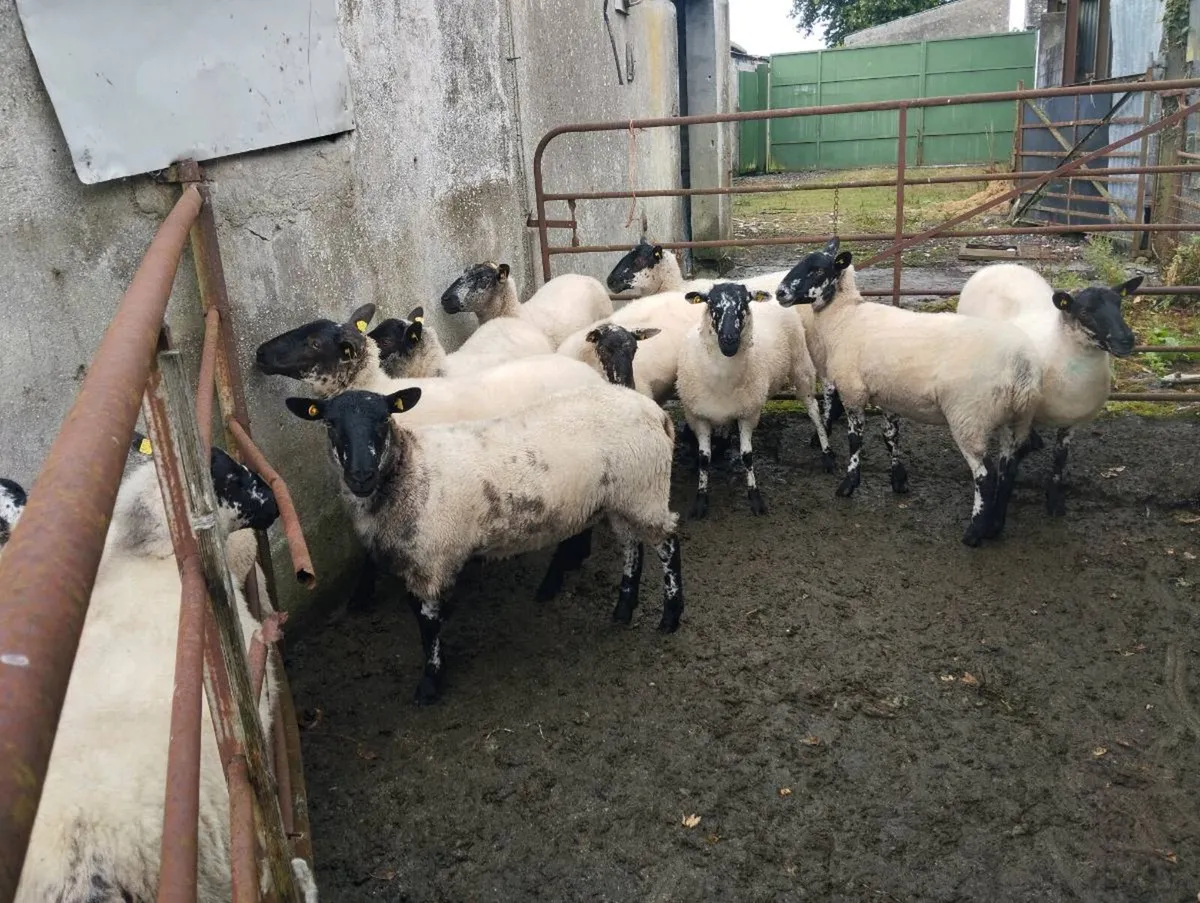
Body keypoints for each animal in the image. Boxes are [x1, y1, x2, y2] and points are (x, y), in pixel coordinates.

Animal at [284, 383, 685, 706]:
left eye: (384, 419)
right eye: (330, 423)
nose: (361, 475)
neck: (410, 469)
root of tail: (656, 412)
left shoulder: (430, 558)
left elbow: (427, 624)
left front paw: (430, 683)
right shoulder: (418, 560)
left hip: (644, 487)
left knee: (668, 543)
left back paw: (670, 614)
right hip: (623, 497)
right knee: (632, 546)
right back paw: (623, 608)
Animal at [675, 282, 834, 518]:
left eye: (745, 302)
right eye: (711, 303)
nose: (729, 340)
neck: (722, 378)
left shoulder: (749, 413)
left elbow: (747, 456)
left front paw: (755, 498)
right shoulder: (698, 416)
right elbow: (704, 459)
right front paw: (700, 500)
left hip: (801, 366)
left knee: (814, 411)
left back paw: (827, 454)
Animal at [775, 240, 1044, 546]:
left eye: (818, 269)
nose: (780, 292)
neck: (844, 319)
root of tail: (1022, 367)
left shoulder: (854, 391)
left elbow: (856, 441)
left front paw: (849, 484)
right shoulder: (889, 395)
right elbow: (891, 437)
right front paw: (898, 479)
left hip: (970, 417)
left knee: (985, 476)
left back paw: (975, 532)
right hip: (1017, 419)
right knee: (1008, 471)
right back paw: (996, 526)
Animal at [956, 263, 1141, 516]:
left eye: (1119, 306)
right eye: (1084, 312)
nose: (1126, 340)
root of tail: (999, 265)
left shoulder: (1072, 422)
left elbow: (1059, 460)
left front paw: (1054, 501)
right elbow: (1011, 463)